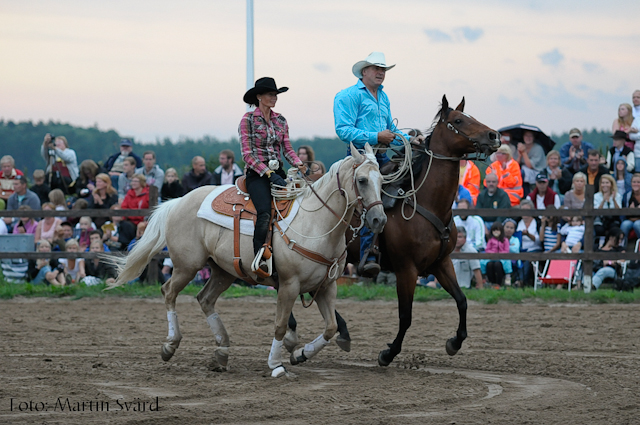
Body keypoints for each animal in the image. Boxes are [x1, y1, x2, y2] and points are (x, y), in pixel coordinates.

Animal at [109, 142, 384, 374]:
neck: (315, 224)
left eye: (382, 180)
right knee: (169, 292)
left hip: (223, 271)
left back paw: (222, 350)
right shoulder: (289, 285)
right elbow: (280, 325)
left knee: (205, 299)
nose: (379, 219)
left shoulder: (327, 286)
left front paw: (301, 354)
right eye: (361, 180)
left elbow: (331, 328)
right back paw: (170, 345)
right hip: (187, 266)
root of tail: (178, 201)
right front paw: (276, 364)